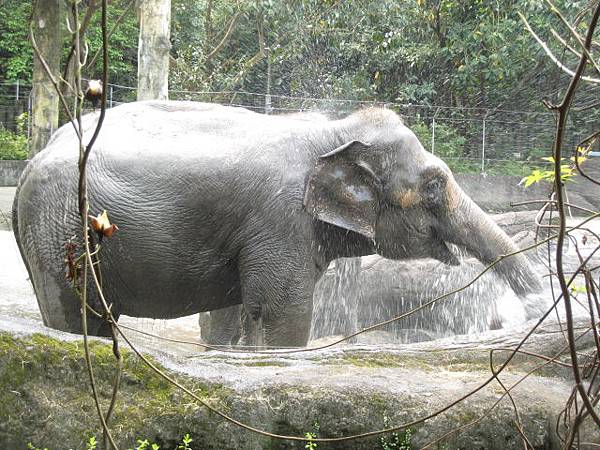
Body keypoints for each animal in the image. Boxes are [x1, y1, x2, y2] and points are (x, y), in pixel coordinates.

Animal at [12, 102, 540, 346]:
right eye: (433, 184)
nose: (534, 309)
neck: (332, 131)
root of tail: (28, 164)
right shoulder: (281, 218)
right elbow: (284, 314)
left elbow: (245, 310)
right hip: (63, 228)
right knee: (77, 311)